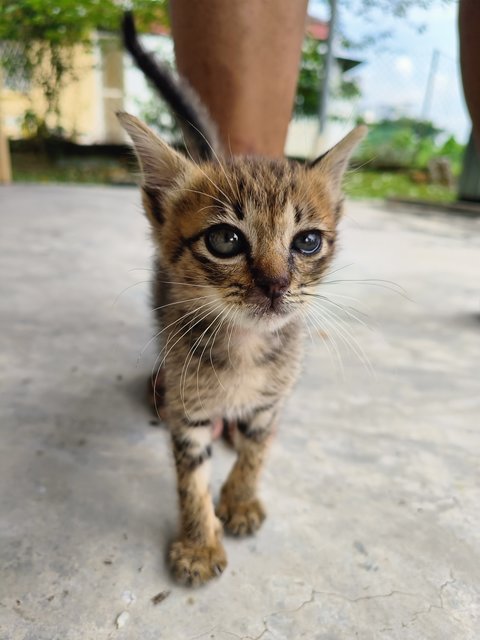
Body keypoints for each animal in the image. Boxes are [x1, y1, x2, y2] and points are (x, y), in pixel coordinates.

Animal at [118, 13, 366, 592]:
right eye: (225, 240)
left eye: (307, 242)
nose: (277, 284)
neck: (245, 348)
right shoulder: (189, 413)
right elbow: (190, 479)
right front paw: (198, 543)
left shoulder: (274, 397)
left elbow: (259, 448)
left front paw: (241, 499)